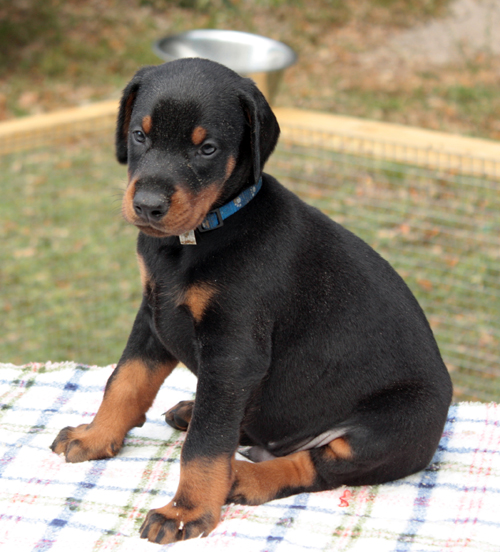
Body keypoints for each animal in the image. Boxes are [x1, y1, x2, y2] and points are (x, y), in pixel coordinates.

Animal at [51, 58, 453, 544]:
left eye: (207, 149)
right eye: (139, 135)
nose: (146, 205)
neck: (201, 236)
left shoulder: (233, 353)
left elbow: (205, 445)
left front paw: (186, 511)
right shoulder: (153, 315)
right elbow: (125, 381)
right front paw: (95, 436)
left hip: (396, 426)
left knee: (315, 465)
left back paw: (241, 478)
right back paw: (193, 413)